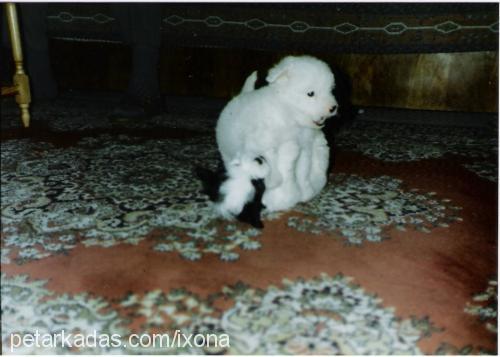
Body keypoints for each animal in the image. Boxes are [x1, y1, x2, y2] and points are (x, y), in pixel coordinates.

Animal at [216, 54, 338, 214]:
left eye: (330, 90)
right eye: (310, 94)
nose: (333, 107)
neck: (287, 114)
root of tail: (241, 94)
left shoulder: (304, 150)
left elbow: (302, 172)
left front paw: (305, 192)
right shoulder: (264, 143)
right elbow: (272, 165)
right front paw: (275, 184)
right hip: (227, 150)